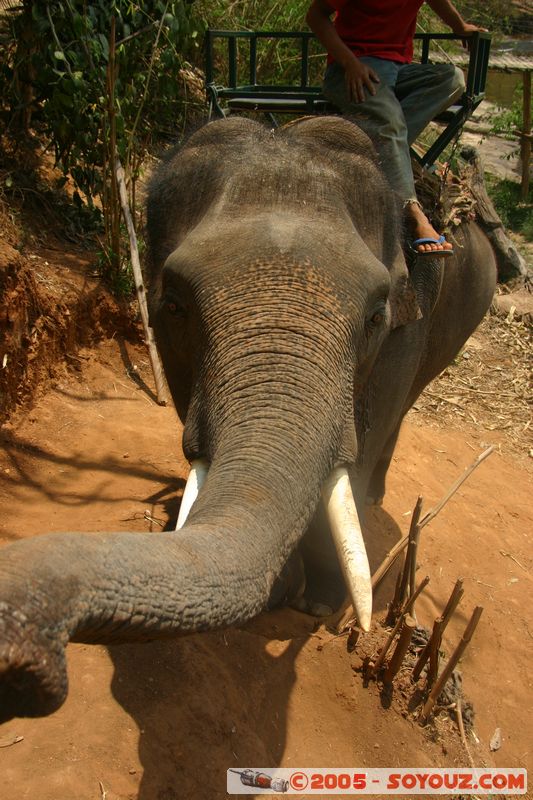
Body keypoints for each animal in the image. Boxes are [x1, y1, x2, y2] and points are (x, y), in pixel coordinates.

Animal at [0, 115, 494, 720]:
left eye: (377, 315)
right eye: (174, 304)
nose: (24, 663)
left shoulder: (405, 331)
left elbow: (362, 443)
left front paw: (317, 604)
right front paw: (283, 589)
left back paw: (374, 497)